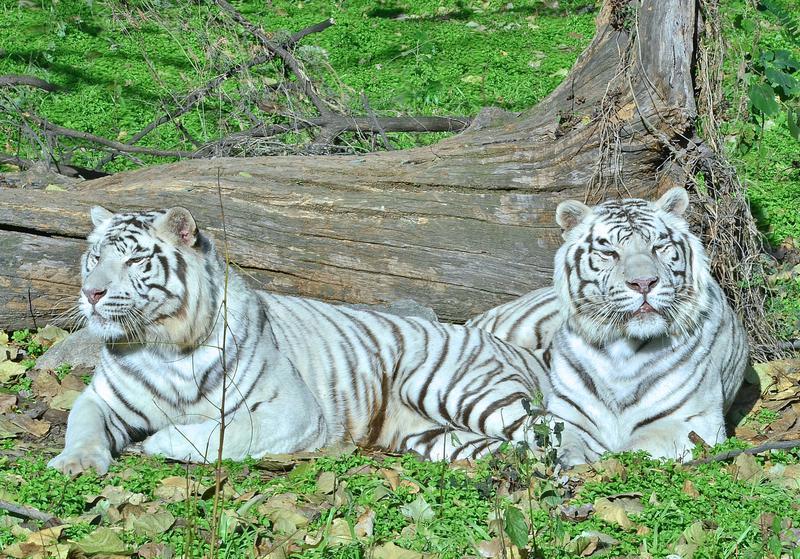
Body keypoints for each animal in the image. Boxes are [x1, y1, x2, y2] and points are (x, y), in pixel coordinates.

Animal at [48, 206, 551, 476]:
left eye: (135, 261)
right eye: (94, 257)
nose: (91, 293)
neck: (161, 346)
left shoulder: (292, 411)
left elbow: (215, 434)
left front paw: (155, 443)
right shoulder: (101, 399)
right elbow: (81, 425)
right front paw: (75, 463)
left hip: (457, 390)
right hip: (438, 437)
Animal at [468, 187, 748, 466]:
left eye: (658, 247)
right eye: (610, 253)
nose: (644, 283)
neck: (621, 351)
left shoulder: (689, 422)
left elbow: (634, 452)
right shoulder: (571, 418)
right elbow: (566, 447)